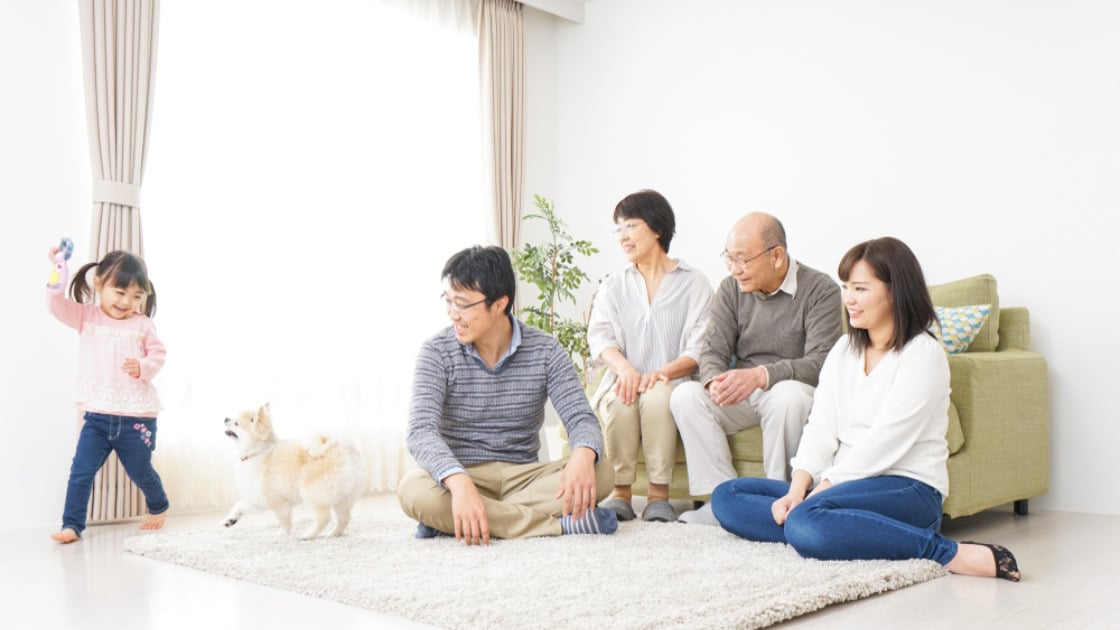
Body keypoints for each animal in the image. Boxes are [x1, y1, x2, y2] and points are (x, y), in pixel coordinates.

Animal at [225, 399, 365, 538]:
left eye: (236, 423)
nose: (226, 418)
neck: (257, 452)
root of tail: (341, 448)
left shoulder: (278, 502)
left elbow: (283, 520)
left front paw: (283, 532)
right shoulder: (258, 498)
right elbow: (239, 505)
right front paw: (230, 520)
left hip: (313, 494)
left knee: (324, 518)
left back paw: (308, 535)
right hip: (342, 496)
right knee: (344, 518)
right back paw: (332, 534)